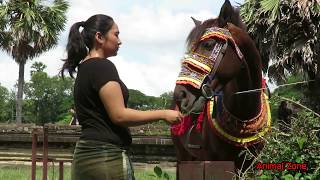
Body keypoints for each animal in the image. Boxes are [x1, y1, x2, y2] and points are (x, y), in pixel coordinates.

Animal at [170, 0, 270, 176]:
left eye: (208, 44)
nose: (180, 95)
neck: (244, 114)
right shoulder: (214, 160)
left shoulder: (252, 163)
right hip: (183, 155)